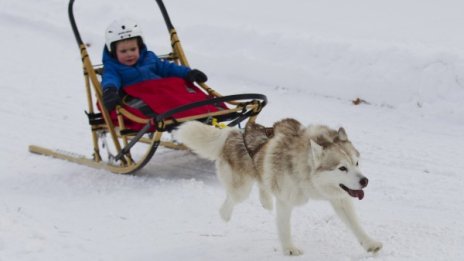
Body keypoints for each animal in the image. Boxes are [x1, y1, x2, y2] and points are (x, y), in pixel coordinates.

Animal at [173, 119, 380, 255]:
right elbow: (284, 227)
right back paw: (225, 214)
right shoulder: (286, 200)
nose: (365, 181)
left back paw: (265, 201)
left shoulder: (340, 197)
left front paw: (370, 244)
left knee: (262, 183)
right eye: (342, 168)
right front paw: (289, 248)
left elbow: (356, 225)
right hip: (241, 190)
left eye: (356, 163)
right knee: (231, 199)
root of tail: (233, 133)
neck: (305, 171)